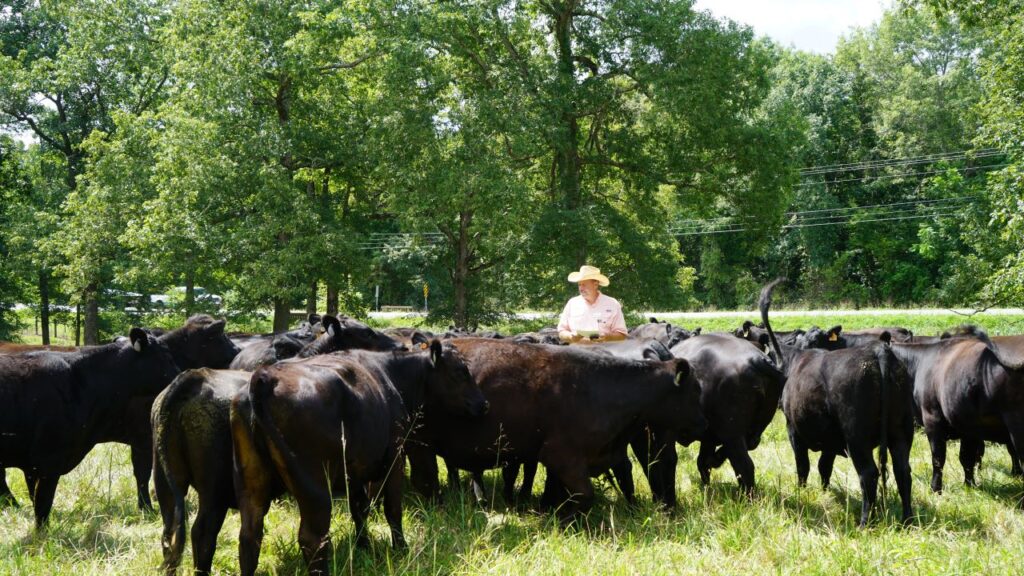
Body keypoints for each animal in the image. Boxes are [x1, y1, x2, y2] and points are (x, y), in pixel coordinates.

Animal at [230, 341, 487, 576]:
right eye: (460, 371)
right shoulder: (395, 456)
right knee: (312, 538)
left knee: (249, 537)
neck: (393, 376)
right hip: (315, 487)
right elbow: (392, 508)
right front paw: (400, 548)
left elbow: (359, 508)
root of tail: (266, 376)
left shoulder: (353, 470)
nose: (483, 404)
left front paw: (363, 545)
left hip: (252, 483)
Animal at [405, 339, 707, 520]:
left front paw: (553, 512)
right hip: (419, 444)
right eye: (696, 389)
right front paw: (567, 522)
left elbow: (562, 491)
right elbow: (584, 494)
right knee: (424, 479)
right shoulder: (562, 455)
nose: (704, 424)